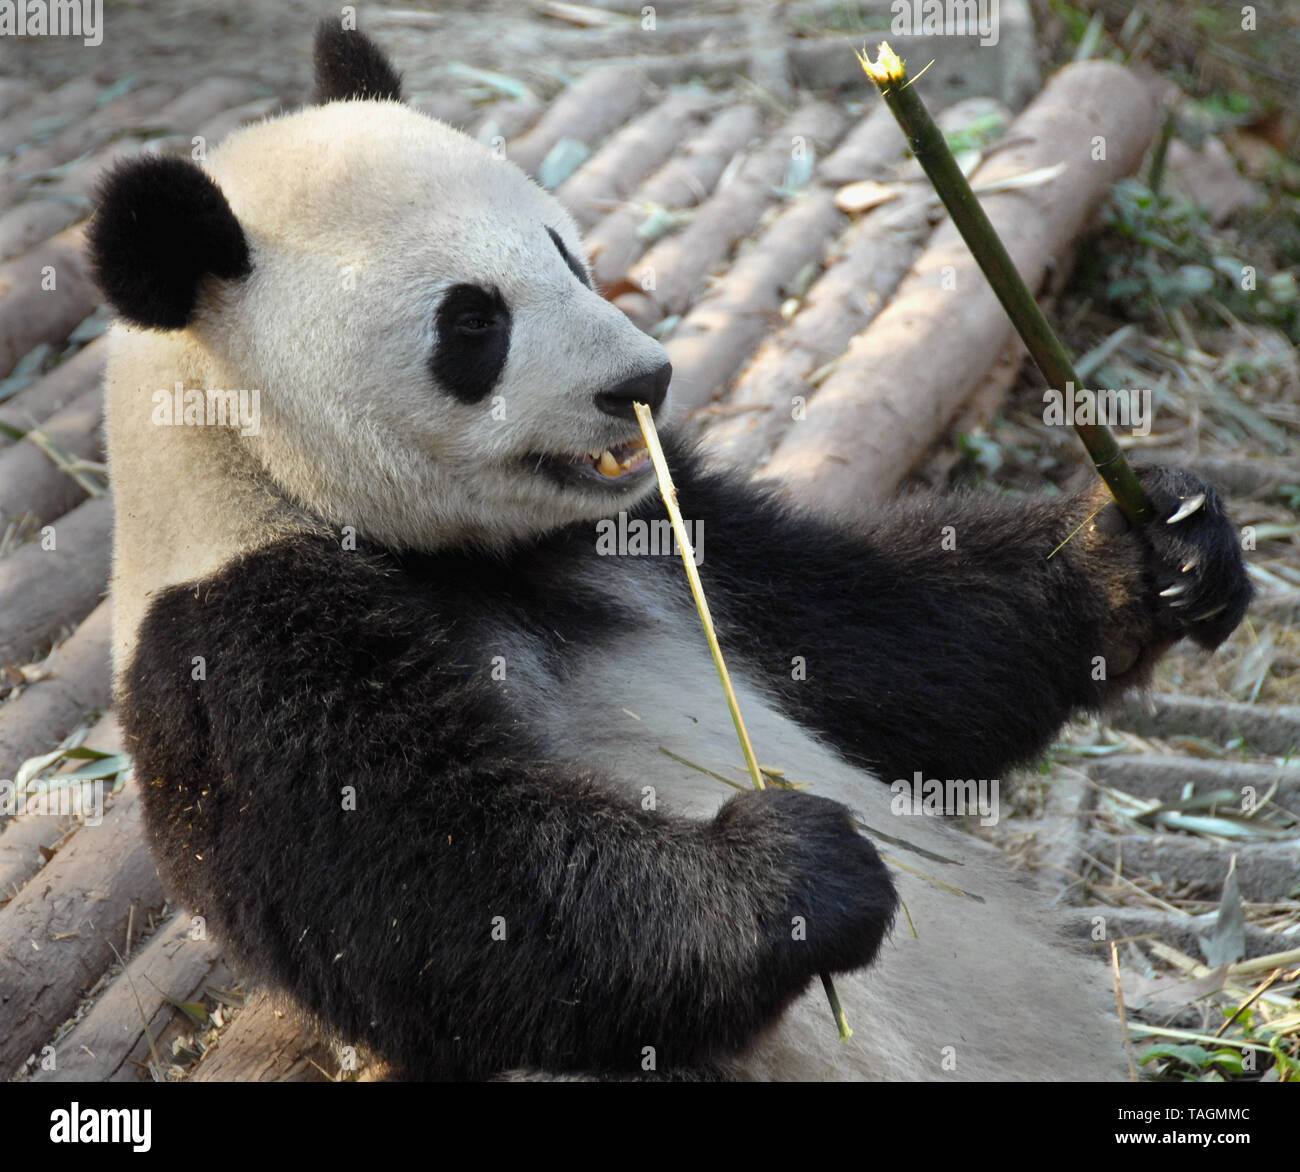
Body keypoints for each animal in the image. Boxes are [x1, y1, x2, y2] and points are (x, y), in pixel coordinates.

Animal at [86, 20, 1253, 1081]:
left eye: (565, 251)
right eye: (472, 322)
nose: (642, 380)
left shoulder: (658, 535)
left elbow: (884, 645)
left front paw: (1142, 553)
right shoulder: (235, 635)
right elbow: (432, 889)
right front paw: (792, 875)